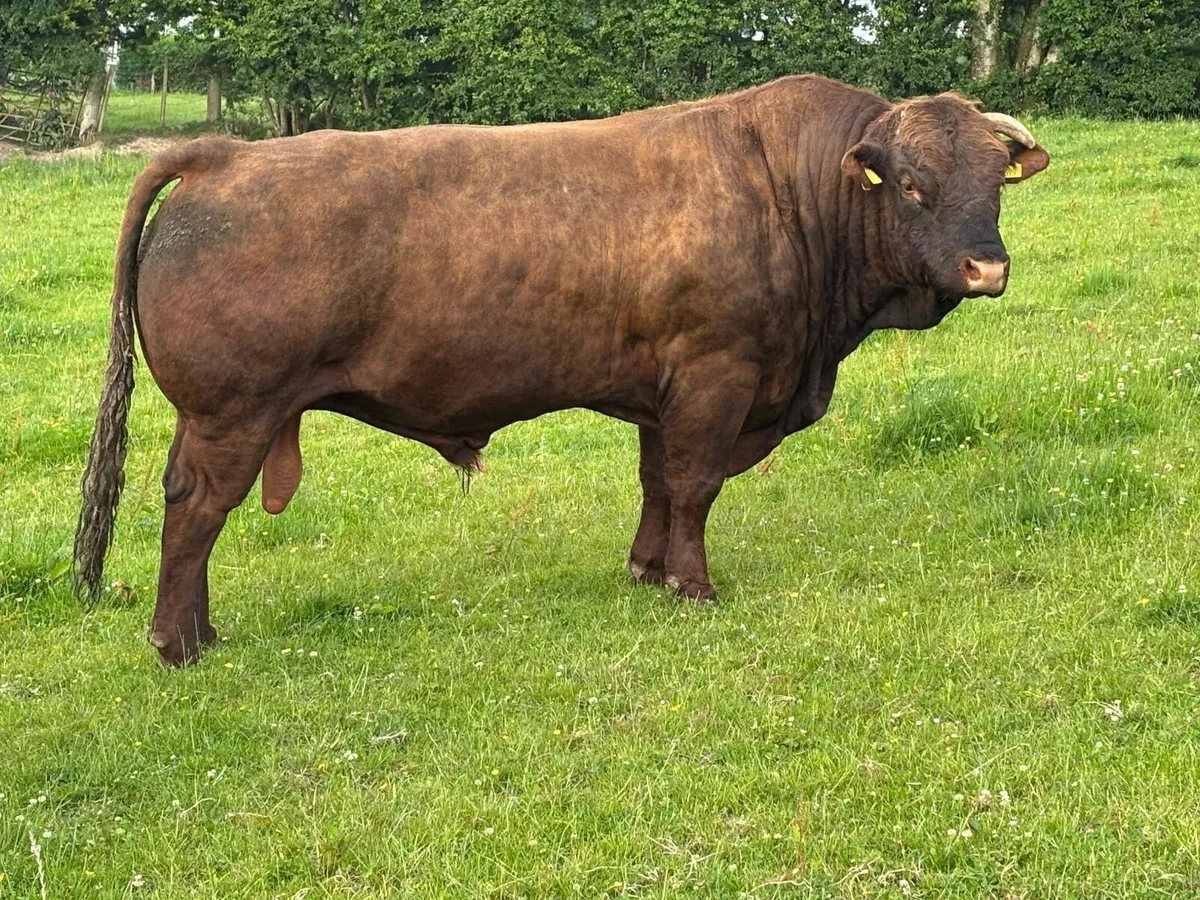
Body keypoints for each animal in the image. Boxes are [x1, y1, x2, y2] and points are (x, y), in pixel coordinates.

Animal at [74, 75, 1049, 666]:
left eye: (994, 183)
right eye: (913, 186)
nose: (987, 269)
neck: (793, 194)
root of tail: (225, 154)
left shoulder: (666, 394)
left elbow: (659, 486)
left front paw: (648, 571)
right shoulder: (717, 378)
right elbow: (695, 487)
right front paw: (694, 585)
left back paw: (196, 630)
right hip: (231, 415)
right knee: (196, 512)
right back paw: (180, 642)